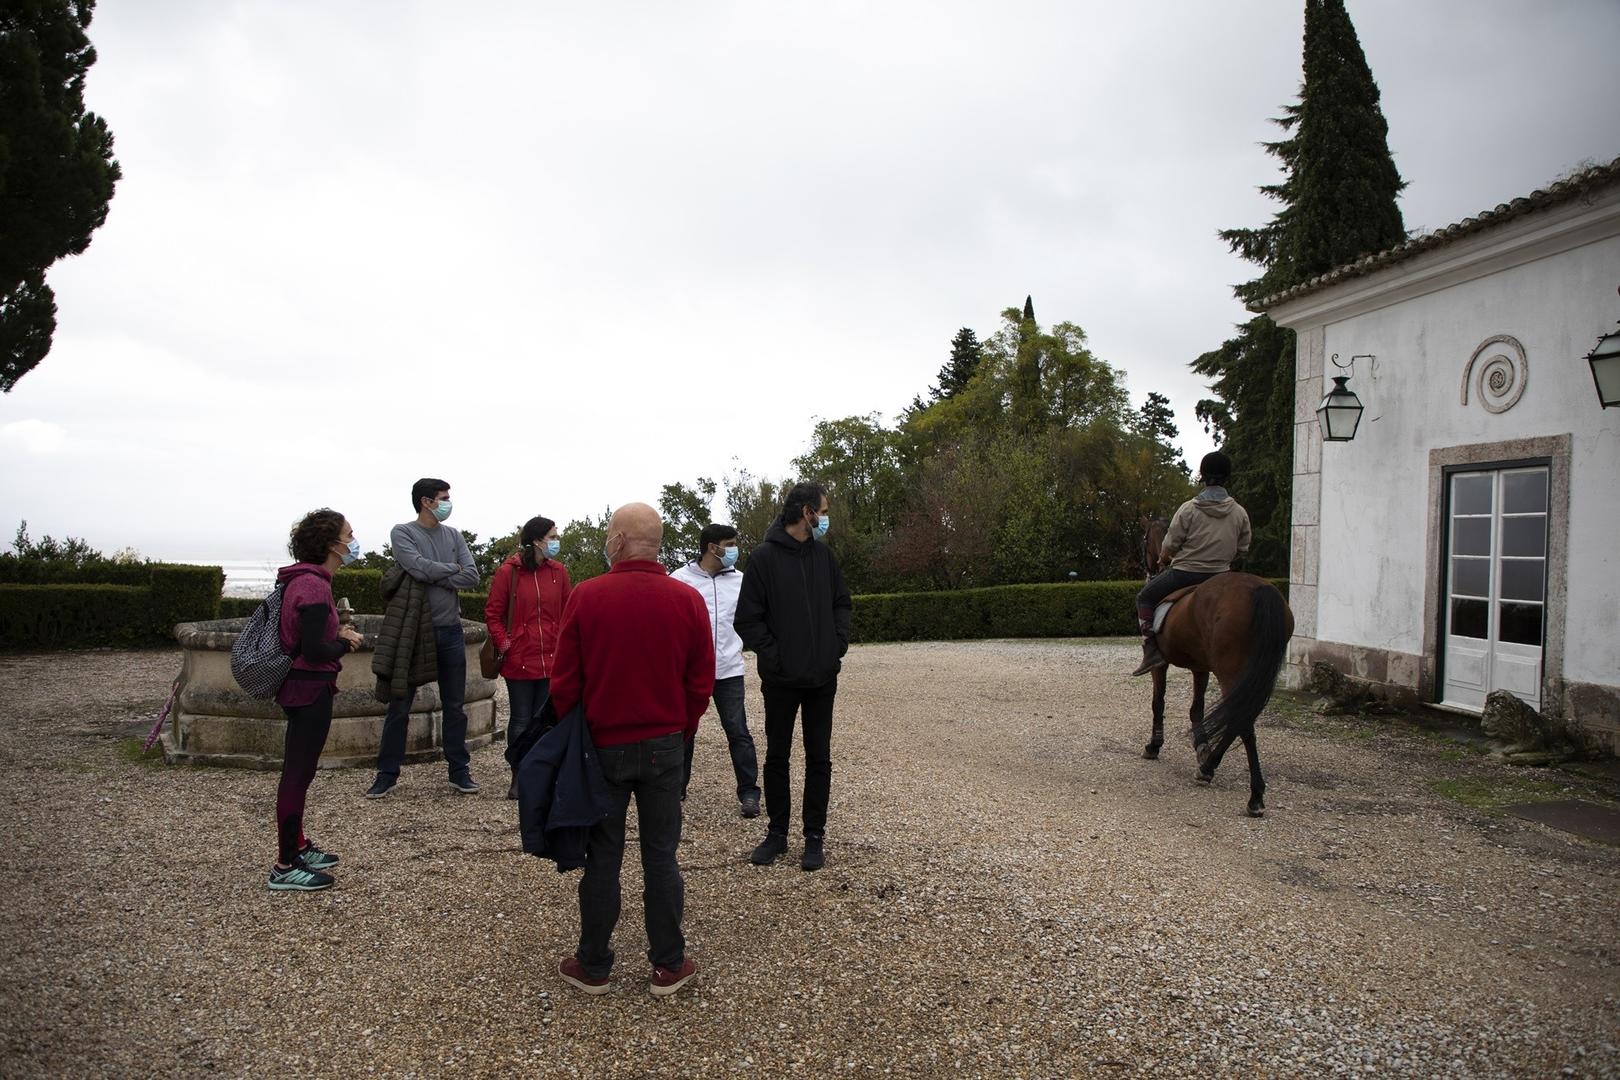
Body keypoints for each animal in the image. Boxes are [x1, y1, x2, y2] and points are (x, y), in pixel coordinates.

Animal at [1146, 569, 1296, 816]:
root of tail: (1261, 588)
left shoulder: (1160, 663)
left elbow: (1158, 702)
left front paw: (1154, 745)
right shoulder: (1200, 666)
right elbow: (1196, 709)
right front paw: (1201, 746)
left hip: (1230, 670)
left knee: (1241, 720)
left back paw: (1239, 787)